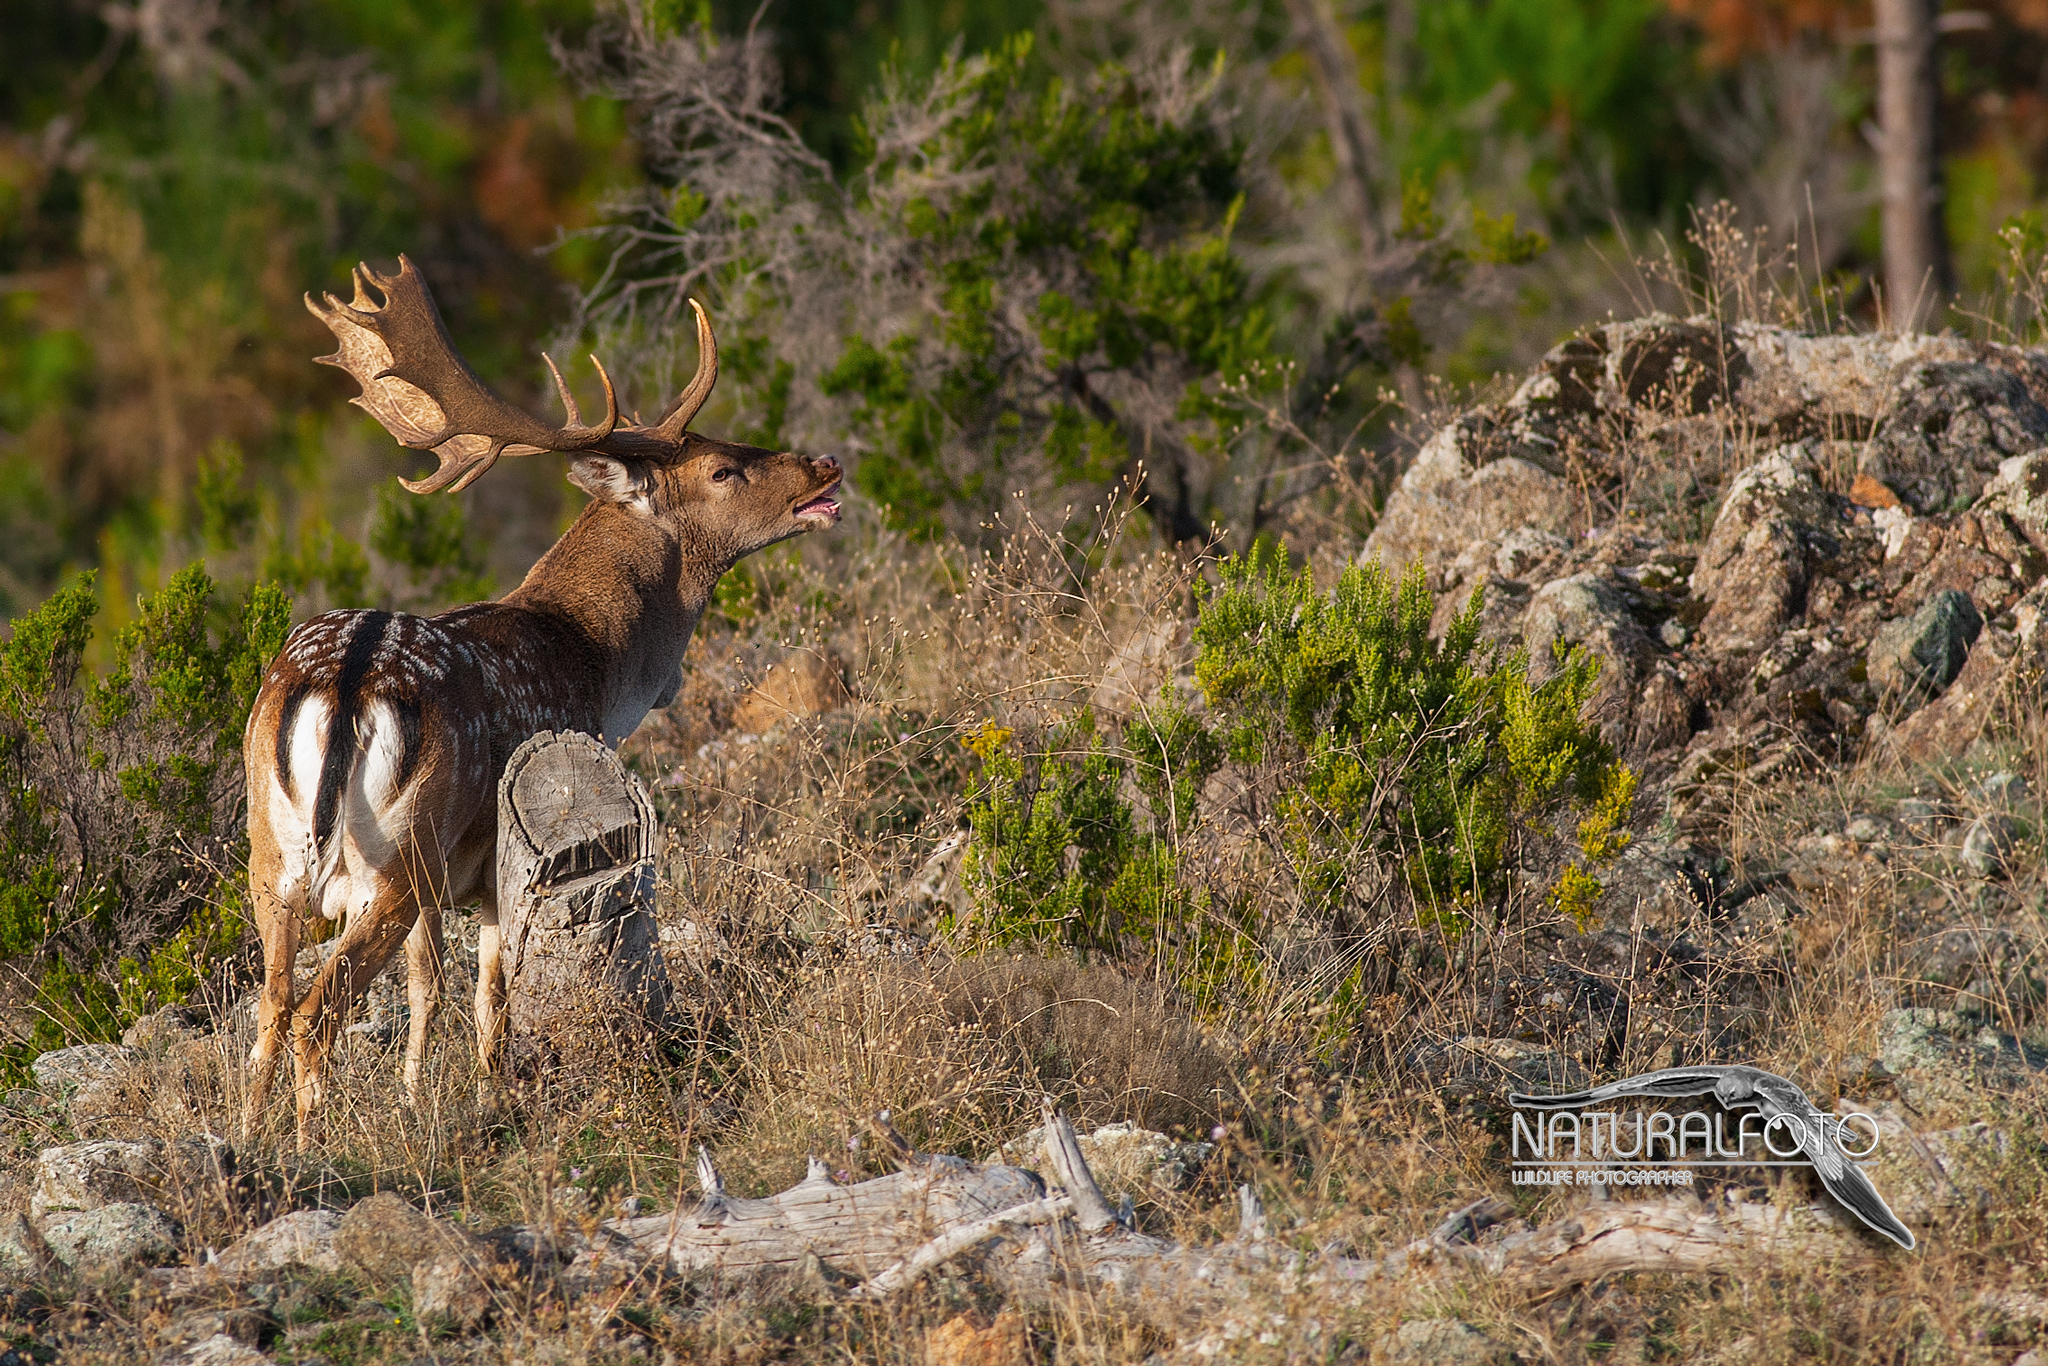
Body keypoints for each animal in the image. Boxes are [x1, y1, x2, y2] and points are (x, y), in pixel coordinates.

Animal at [243, 256, 841, 1144]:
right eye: (722, 470)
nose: (826, 464)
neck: (597, 667)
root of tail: (342, 679)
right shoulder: (507, 859)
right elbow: (493, 997)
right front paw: (492, 1099)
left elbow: (429, 987)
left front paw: (417, 1098)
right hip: (401, 852)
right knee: (318, 1011)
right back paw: (312, 1149)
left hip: (273, 851)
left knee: (271, 1007)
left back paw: (248, 1141)